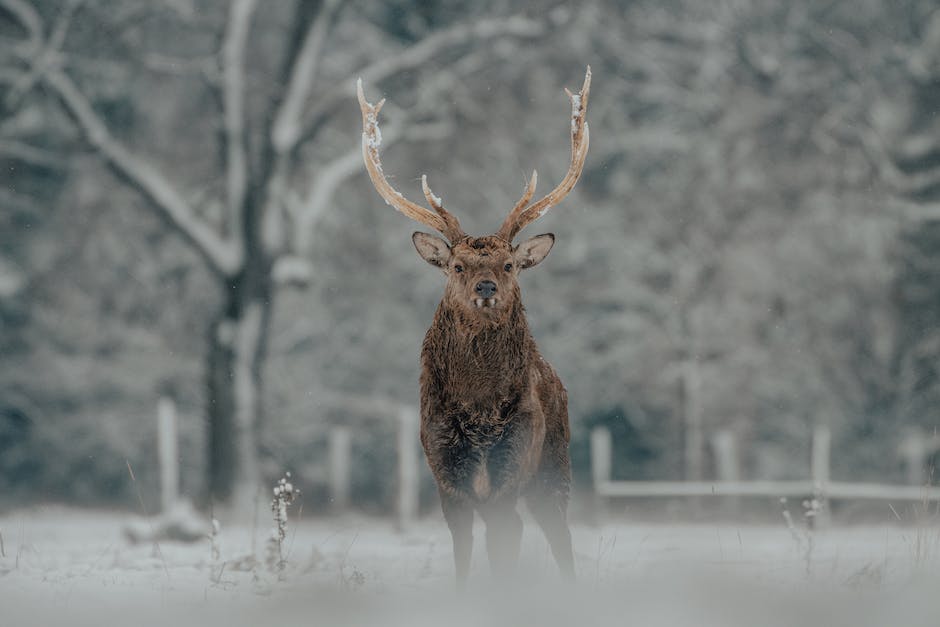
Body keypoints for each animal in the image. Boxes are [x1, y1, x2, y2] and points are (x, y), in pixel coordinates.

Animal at [356, 66, 592, 588]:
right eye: (458, 265)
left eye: (508, 264)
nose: (486, 286)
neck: (479, 410)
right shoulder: (445, 469)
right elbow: (464, 552)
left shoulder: (512, 460)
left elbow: (506, 545)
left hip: (554, 462)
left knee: (559, 534)